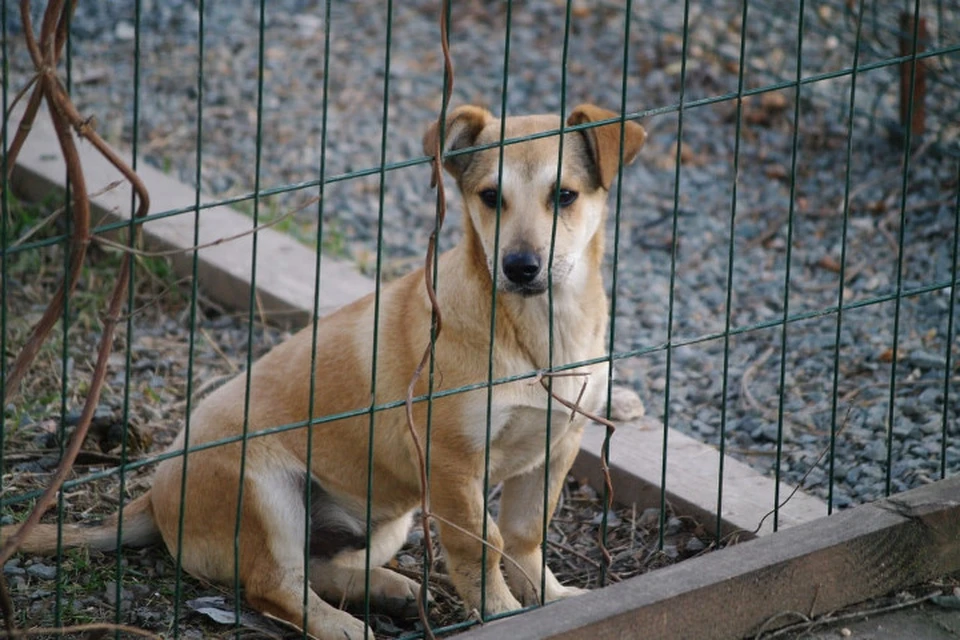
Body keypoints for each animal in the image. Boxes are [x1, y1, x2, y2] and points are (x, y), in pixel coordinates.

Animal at [5, 102, 644, 636]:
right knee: (272, 585)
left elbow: (525, 535)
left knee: (315, 569)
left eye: (565, 196)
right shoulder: (452, 465)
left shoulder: (556, 447)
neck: (539, 330)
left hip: (388, 519)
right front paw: (502, 614)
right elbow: (481, 546)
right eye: (491, 197)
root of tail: (152, 498)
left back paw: (387, 589)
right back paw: (344, 626)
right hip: (267, 490)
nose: (519, 266)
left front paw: (553, 600)